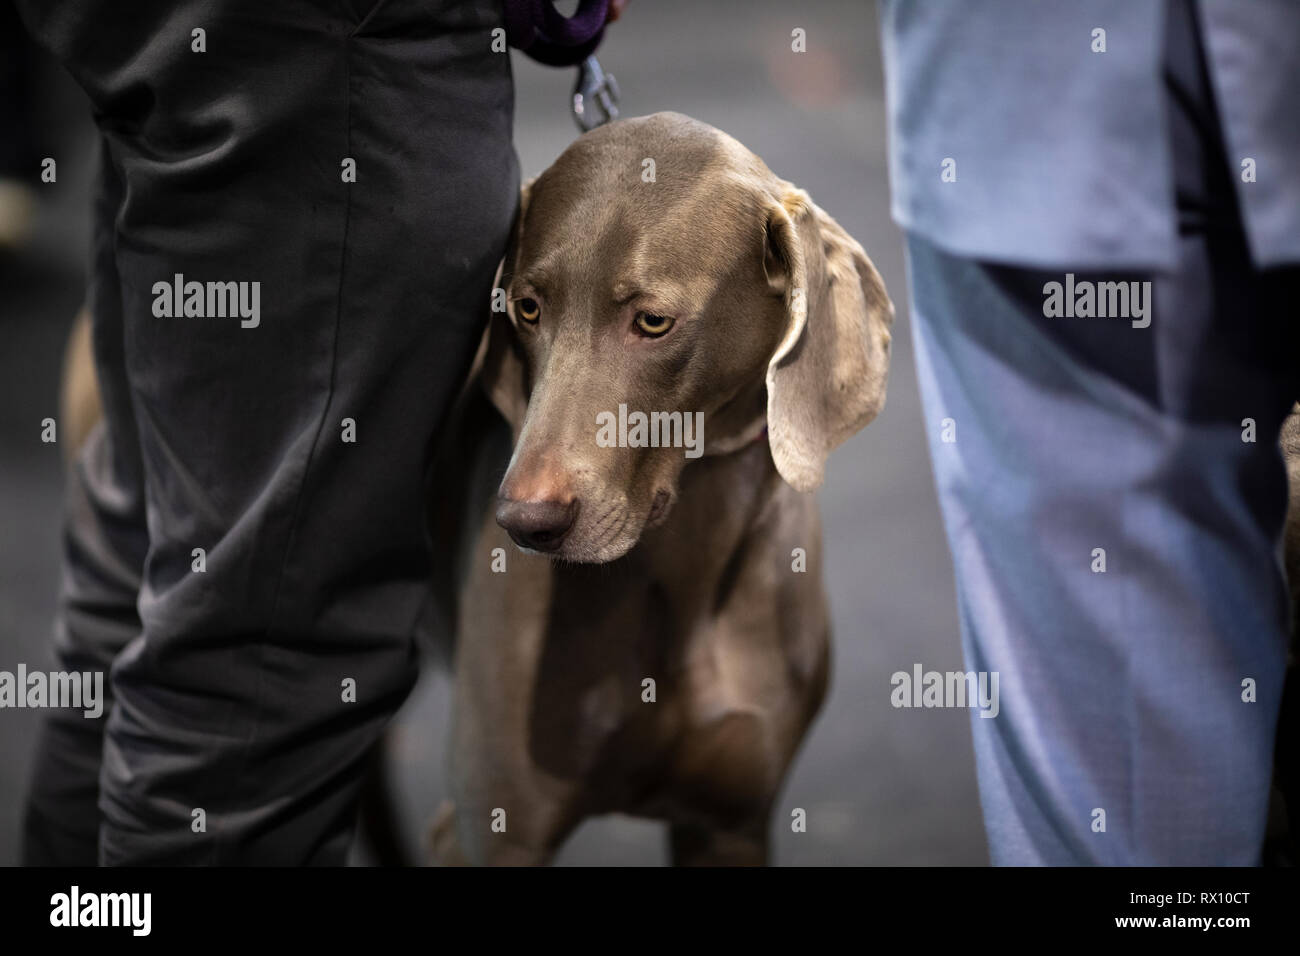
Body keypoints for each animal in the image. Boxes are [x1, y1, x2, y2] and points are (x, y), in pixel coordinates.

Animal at [426, 113, 894, 868]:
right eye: (527, 308)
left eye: (652, 322)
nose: (524, 522)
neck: (688, 560)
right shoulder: (489, 835)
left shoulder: (731, 826)